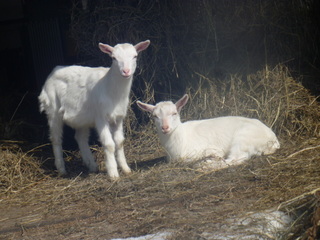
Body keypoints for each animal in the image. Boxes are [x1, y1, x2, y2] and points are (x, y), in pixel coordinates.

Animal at [38, 39, 150, 178]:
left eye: (135, 56)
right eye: (113, 58)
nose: (126, 71)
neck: (111, 89)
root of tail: (55, 69)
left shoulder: (118, 117)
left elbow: (119, 142)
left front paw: (125, 169)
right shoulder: (101, 117)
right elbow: (109, 144)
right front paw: (113, 173)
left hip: (81, 117)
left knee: (80, 137)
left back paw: (91, 165)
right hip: (52, 108)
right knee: (56, 138)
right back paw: (61, 169)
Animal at [137, 94, 280, 167]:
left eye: (174, 113)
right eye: (155, 116)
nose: (165, 127)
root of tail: (274, 141)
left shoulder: (208, 148)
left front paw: (210, 158)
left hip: (244, 139)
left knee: (236, 159)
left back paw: (206, 164)